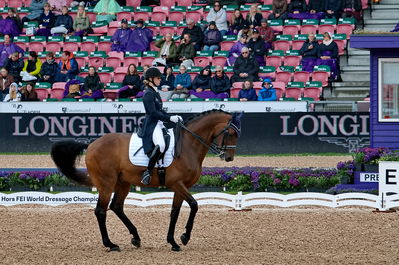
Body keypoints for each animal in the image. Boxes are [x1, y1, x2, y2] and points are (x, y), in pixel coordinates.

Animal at [51, 109, 242, 252]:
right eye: (231, 133)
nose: (229, 158)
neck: (189, 145)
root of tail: (91, 145)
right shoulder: (176, 184)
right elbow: (194, 205)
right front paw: (184, 237)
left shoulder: (181, 186)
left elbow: (175, 212)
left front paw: (173, 242)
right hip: (107, 183)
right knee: (101, 211)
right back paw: (111, 244)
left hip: (123, 183)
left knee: (116, 206)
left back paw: (136, 238)